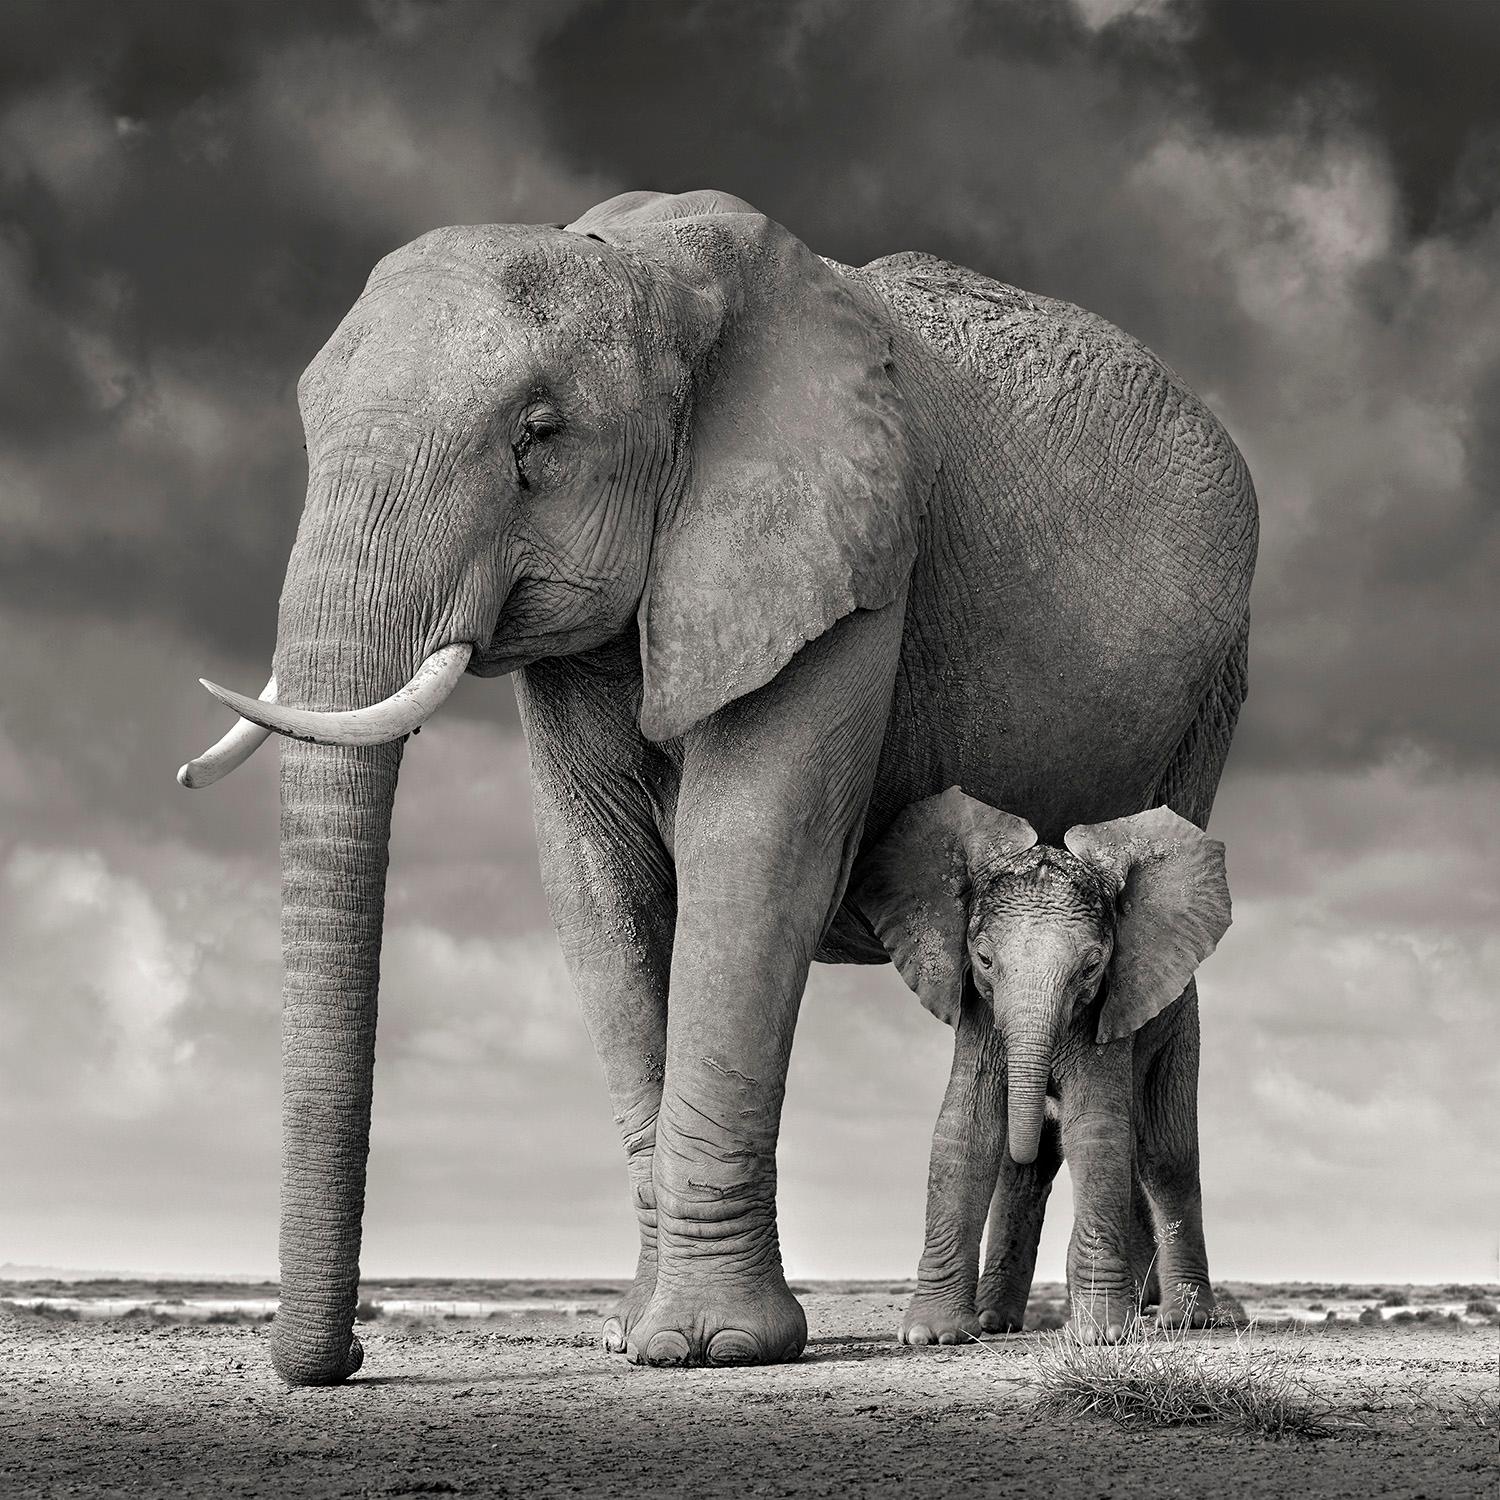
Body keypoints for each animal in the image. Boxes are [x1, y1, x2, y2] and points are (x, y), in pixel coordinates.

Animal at [850, 790, 1232, 1345]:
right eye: (983, 959)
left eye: (1091, 967)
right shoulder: (980, 1011)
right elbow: (966, 1130)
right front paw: (933, 1336)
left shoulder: (1107, 1012)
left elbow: (1096, 1134)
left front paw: (1101, 1335)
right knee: (1025, 1176)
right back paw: (996, 1322)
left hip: (1178, 1023)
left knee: (1166, 1157)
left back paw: (1186, 1320)